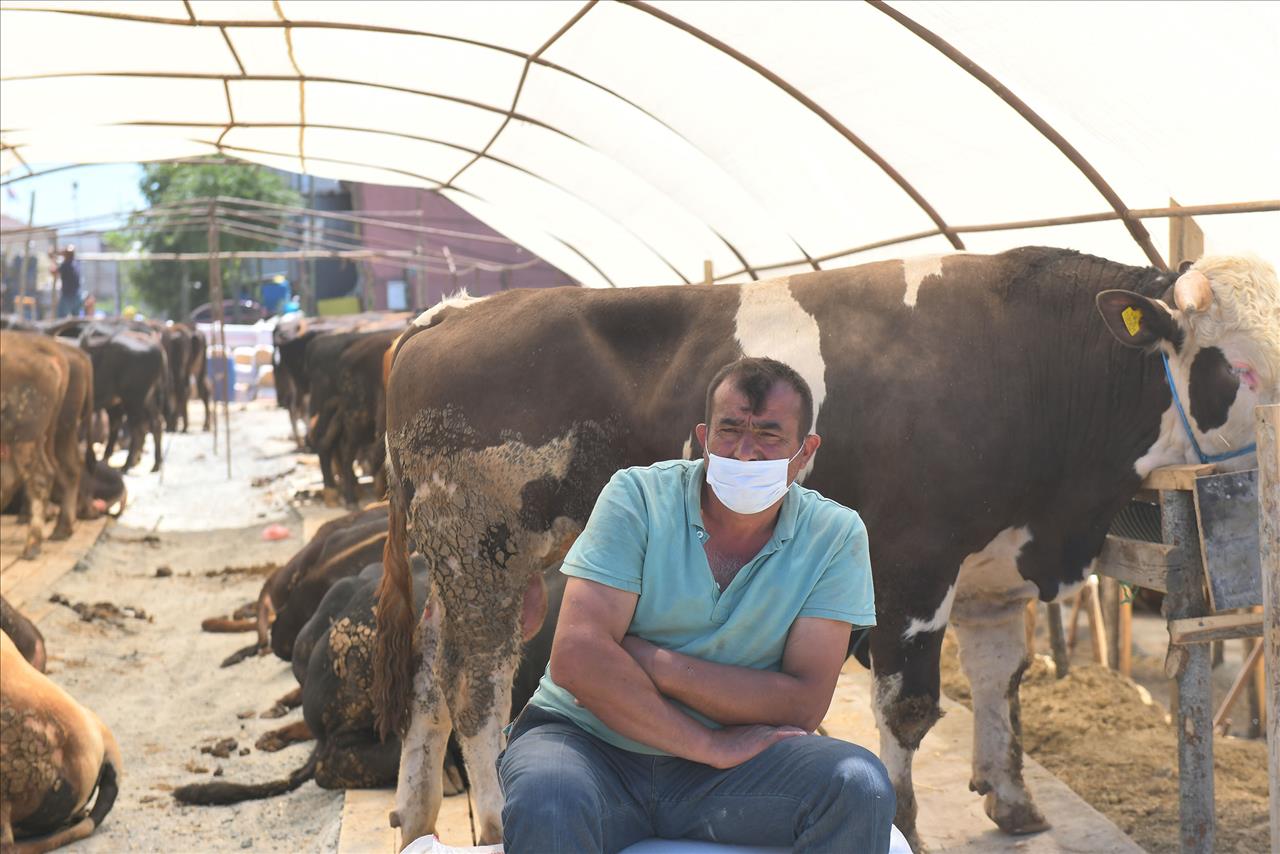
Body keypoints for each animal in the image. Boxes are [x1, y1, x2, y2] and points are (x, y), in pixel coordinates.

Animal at [373, 247, 1274, 850]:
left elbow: (998, 680)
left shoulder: (995, 566)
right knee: (477, 688)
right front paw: (905, 820)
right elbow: (908, 705)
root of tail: (452, 312)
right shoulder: (911, 562)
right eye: (1239, 366)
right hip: (486, 547)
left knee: (428, 674)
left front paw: (1011, 800)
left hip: (462, 560)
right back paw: (493, 820)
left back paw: (414, 815)